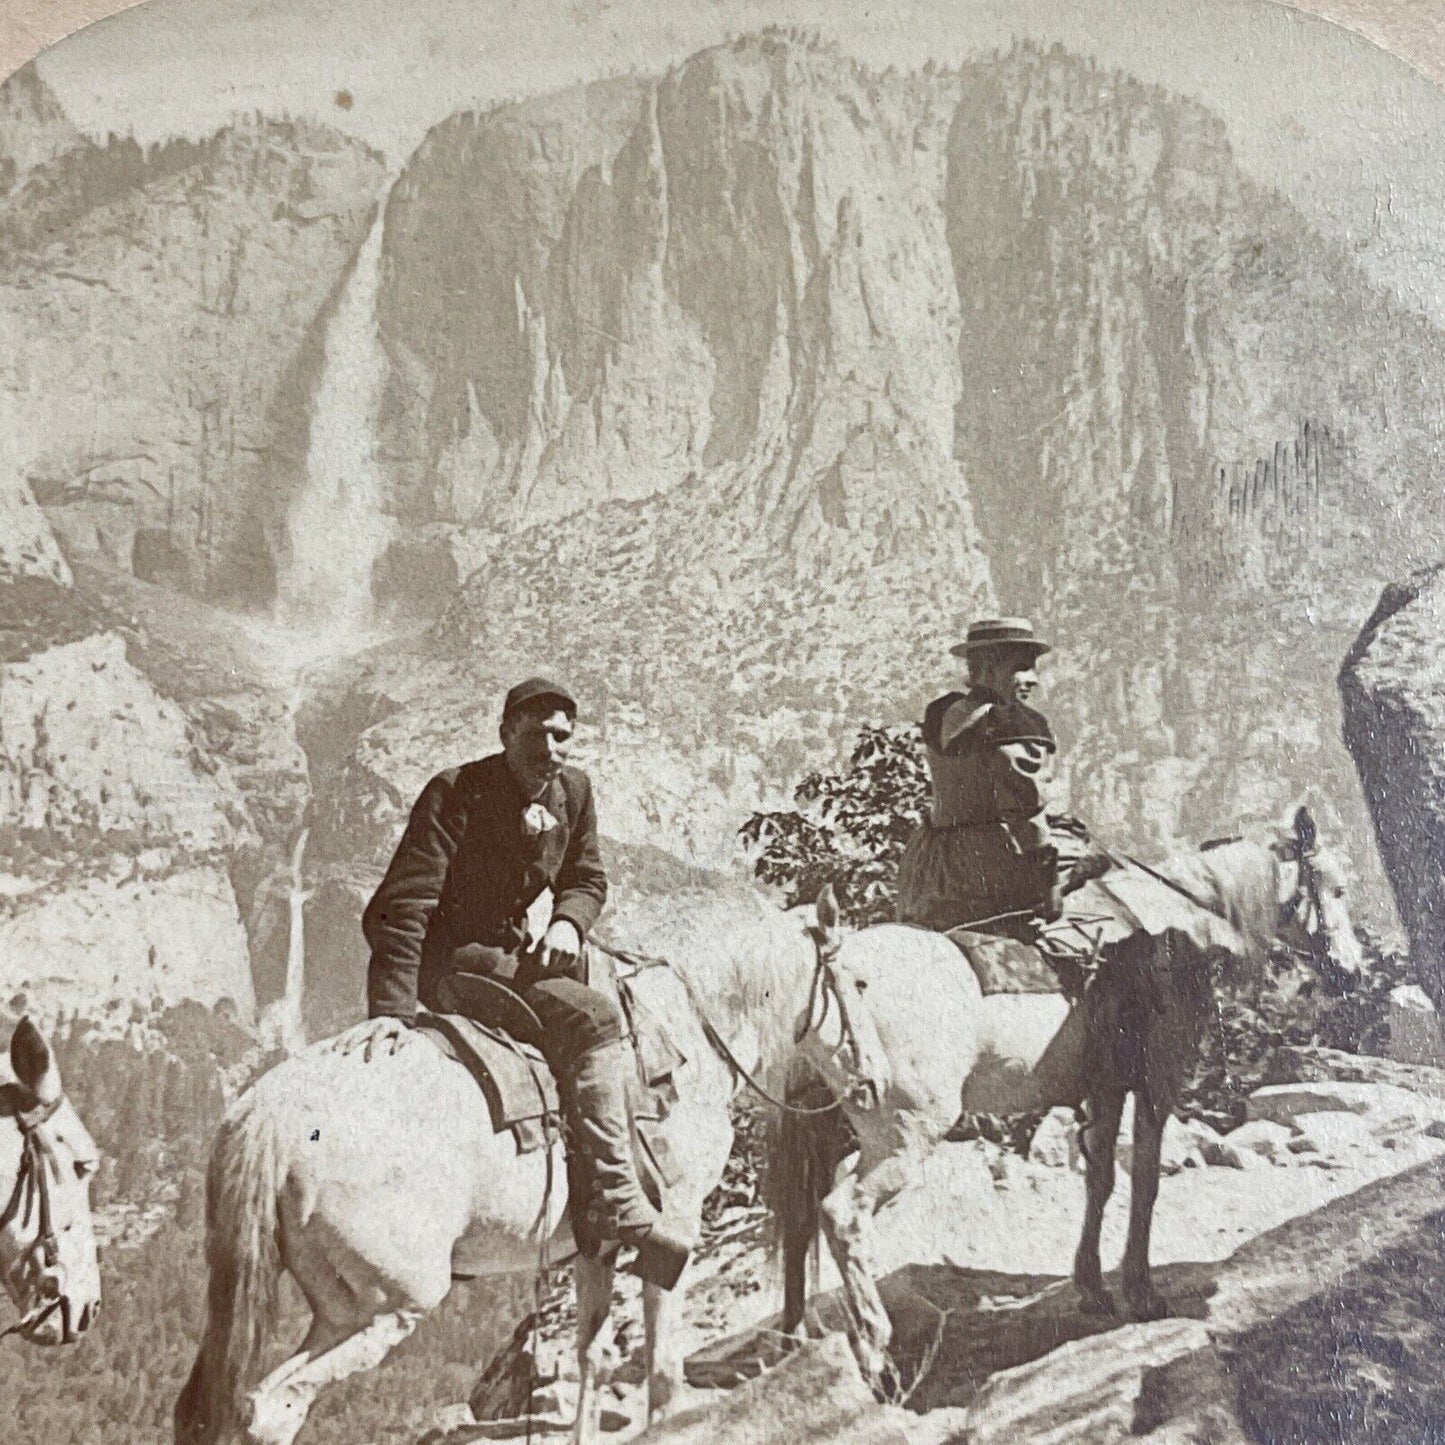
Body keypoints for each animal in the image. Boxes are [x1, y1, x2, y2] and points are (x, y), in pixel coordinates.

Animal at [171, 895, 826, 1445]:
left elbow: (590, 1351)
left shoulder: (594, 1243)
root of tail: (271, 1115)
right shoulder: (676, 1223)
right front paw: (669, 1415)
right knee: (271, 1408)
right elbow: (662, 1350)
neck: (678, 1037)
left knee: (212, 1408)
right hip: (379, 1308)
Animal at [774, 809, 1358, 1392]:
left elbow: (1099, 1180)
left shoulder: (1104, 1090)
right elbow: (1144, 1179)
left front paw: (1092, 1286)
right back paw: (876, 1355)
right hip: (905, 1134)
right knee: (843, 1216)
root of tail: (834, 969)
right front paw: (1141, 1292)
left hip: (825, 1129)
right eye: (1336, 888)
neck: (1179, 927)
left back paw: (797, 1337)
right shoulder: (1156, 1083)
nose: (1352, 972)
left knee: (798, 1220)